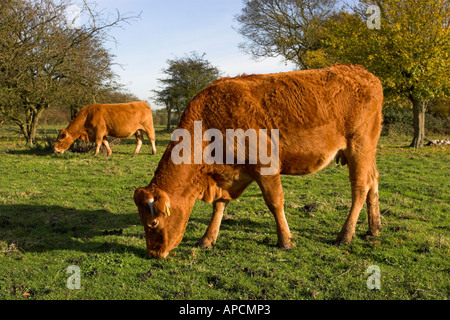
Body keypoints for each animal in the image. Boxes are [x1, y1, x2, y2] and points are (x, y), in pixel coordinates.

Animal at [133, 64, 384, 258]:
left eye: (153, 223)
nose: (153, 253)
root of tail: (362, 72)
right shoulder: (226, 174)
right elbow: (219, 205)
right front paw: (207, 238)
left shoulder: (266, 166)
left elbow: (275, 202)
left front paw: (285, 240)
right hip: (366, 151)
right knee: (373, 182)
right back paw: (373, 229)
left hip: (358, 147)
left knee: (360, 188)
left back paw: (345, 235)